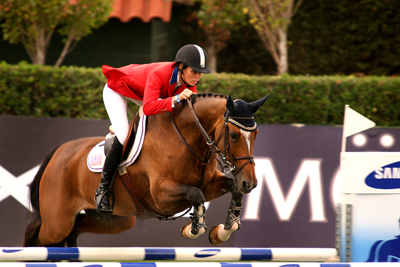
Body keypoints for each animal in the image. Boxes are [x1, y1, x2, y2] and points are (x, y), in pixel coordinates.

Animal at [22, 93, 268, 248]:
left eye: (256, 135)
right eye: (234, 135)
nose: (251, 183)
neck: (188, 138)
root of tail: (58, 153)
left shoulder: (209, 185)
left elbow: (231, 189)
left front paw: (222, 232)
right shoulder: (161, 196)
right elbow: (196, 195)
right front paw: (193, 228)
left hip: (114, 219)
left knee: (74, 229)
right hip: (57, 222)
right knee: (37, 237)